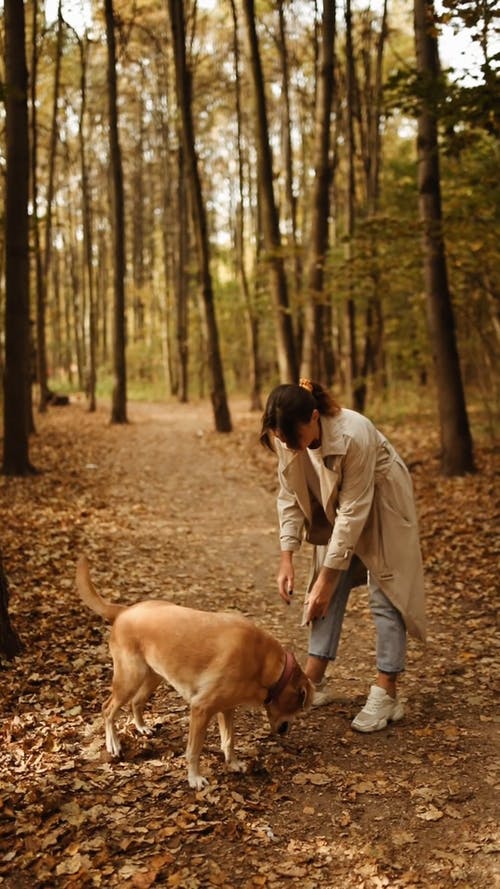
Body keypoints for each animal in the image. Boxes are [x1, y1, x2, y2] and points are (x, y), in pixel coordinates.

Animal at [76, 556, 314, 792]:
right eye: (300, 707)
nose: (286, 730)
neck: (266, 665)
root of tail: (124, 611)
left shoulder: (226, 709)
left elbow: (229, 740)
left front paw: (233, 763)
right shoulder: (201, 708)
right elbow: (194, 750)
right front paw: (194, 778)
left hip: (154, 676)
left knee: (136, 702)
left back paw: (142, 727)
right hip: (129, 678)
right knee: (107, 709)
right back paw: (113, 745)